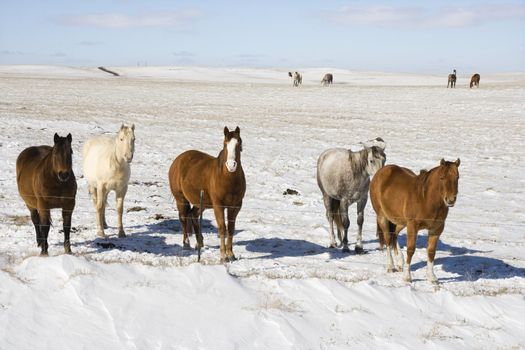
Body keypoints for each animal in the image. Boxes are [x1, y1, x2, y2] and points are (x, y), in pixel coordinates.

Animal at [170, 126, 248, 262]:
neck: (228, 179)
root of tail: (178, 159)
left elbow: (231, 228)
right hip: (181, 199)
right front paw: (223, 256)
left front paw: (231, 254)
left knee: (193, 215)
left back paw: (199, 243)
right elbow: (222, 228)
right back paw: (186, 243)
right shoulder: (218, 206)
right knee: (183, 218)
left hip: (201, 203)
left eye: (239, 143)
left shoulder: (235, 206)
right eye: (225, 143)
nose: (231, 165)